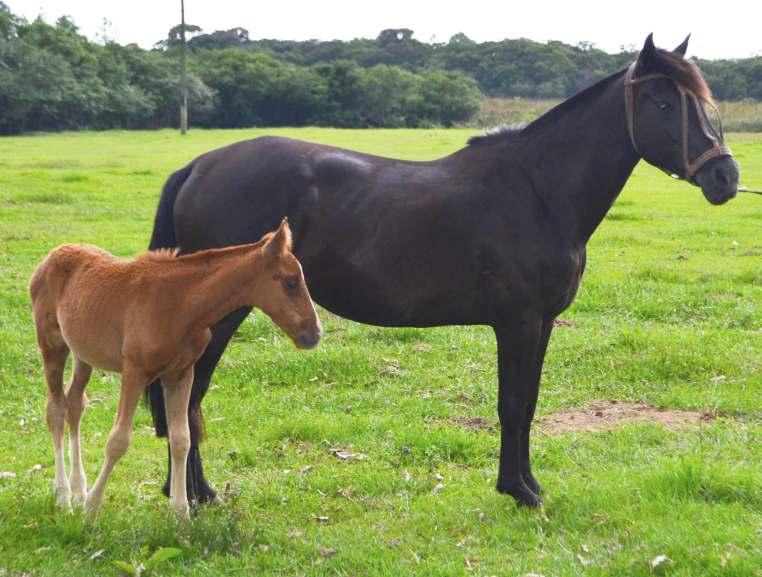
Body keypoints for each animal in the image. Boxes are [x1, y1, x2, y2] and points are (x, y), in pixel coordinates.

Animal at [29, 218, 320, 516]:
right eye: (291, 282)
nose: (314, 333)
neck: (180, 304)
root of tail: (52, 255)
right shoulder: (135, 372)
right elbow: (118, 440)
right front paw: (92, 508)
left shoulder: (180, 373)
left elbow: (181, 438)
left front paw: (181, 513)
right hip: (52, 344)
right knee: (56, 408)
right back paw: (64, 495)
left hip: (82, 354)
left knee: (75, 403)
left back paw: (78, 489)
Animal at [144, 35, 736, 504]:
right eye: (663, 102)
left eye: (702, 104)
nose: (726, 177)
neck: (538, 191)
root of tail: (199, 165)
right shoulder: (518, 322)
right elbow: (513, 403)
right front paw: (519, 492)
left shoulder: (541, 323)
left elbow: (527, 403)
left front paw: (527, 485)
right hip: (221, 317)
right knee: (187, 397)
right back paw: (195, 494)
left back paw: (192, 491)